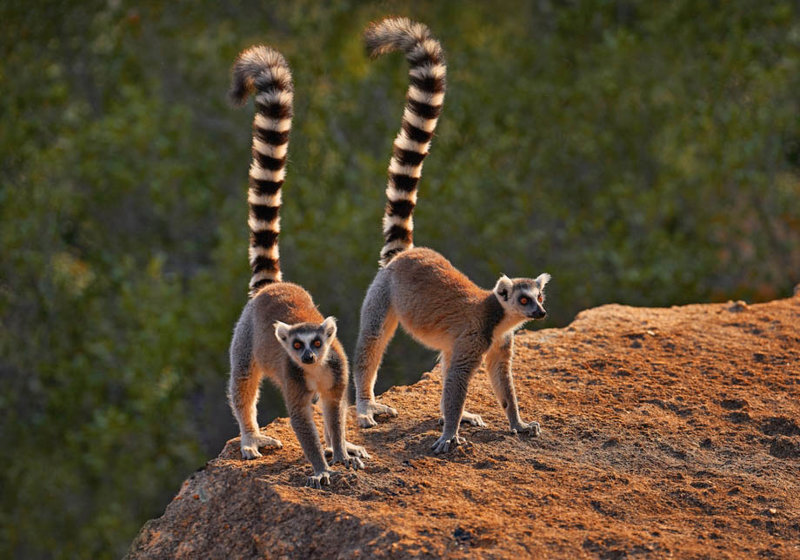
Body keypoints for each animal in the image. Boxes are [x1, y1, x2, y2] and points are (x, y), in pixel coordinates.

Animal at [226, 45, 368, 488]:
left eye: (317, 344)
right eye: (296, 345)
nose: (306, 358)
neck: (316, 371)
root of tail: (273, 287)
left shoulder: (338, 372)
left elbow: (335, 412)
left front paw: (341, 452)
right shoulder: (293, 379)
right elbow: (301, 418)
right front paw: (322, 468)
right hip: (245, 335)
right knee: (242, 382)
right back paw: (250, 437)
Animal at [353, 17, 551, 454]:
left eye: (540, 298)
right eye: (524, 299)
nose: (540, 313)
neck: (500, 319)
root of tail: (407, 254)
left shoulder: (500, 346)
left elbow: (501, 382)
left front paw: (517, 423)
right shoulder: (475, 337)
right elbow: (458, 377)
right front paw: (449, 434)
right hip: (382, 293)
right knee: (372, 339)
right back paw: (366, 405)